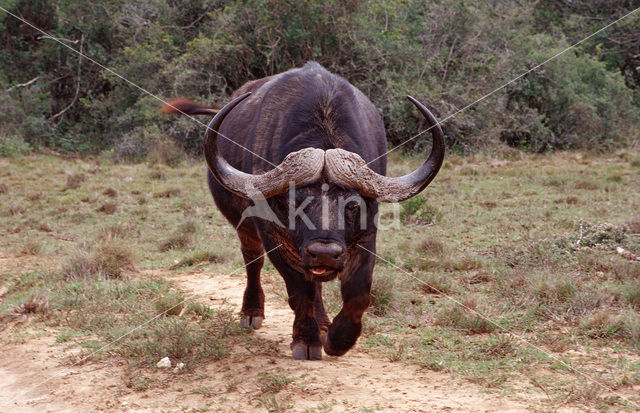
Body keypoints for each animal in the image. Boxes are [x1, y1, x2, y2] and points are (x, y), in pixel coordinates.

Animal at [162, 62, 442, 360]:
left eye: (353, 205)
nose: (325, 253)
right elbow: (300, 290)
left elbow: (358, 293)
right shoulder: (274, 237)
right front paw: (306, 340)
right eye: (295, 203)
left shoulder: (366, 235)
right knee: (253, 260)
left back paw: (323, 323)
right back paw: (252, 312)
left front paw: (338, 339)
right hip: (243, 224)